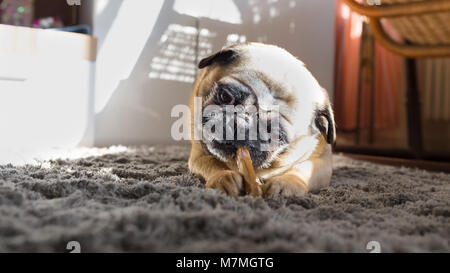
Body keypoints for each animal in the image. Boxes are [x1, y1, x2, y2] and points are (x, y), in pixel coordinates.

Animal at [186, 42, 334, 197]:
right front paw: (223, 176)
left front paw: (286, 182)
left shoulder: (322, 160)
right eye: (226, 97)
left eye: (274, 134)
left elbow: (303, 168)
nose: (239, 125)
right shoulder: (198, 155)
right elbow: (211, 162)